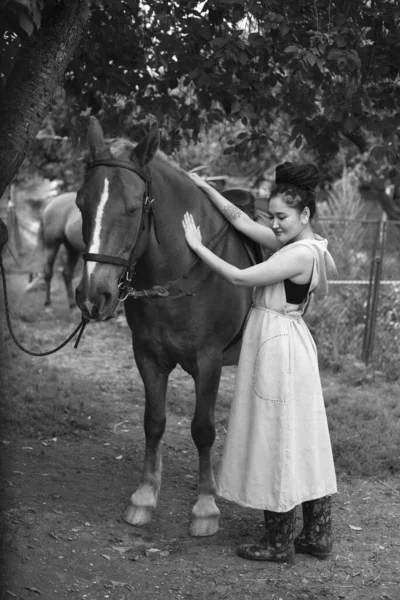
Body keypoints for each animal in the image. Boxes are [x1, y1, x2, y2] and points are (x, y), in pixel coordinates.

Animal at [75, 116, 262, 536]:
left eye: (132, 209)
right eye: (80, 204)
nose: (93, 295)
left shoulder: (208, 362)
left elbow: (203, 429)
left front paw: (206, 506)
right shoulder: (147, 356)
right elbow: (154, 422)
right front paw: (145, 495)